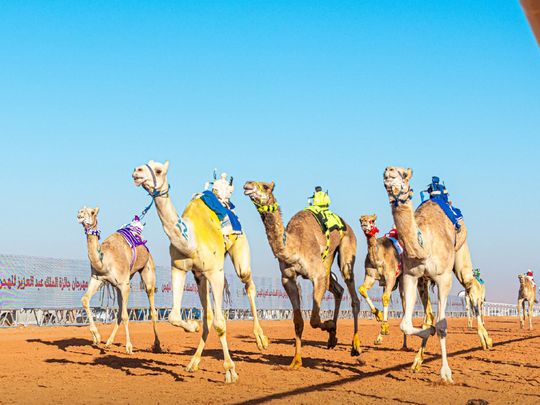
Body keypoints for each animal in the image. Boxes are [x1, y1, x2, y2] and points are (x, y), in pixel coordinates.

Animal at [76, 207, 160, 352]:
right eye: (81, 209)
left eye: (91, 212)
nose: (79, 215)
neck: (105, 261)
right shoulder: (98, 279)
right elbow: (85, 300)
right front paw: (96, 337)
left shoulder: (124, 284)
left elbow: (126, 316)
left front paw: (129, 347)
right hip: (119, 285)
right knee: (120, 311)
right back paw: (108, 342)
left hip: (147, 269)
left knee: (151, 306)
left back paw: (157, 345)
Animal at [133, 159, 268, 382]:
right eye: (145, 164)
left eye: (159, 170)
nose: (137, 171)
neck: (190, 239)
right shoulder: (179, 268)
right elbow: (174, 316)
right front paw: (192, 325)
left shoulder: (215, 272)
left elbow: (221, 323)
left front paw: (230, 371)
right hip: (200, 277)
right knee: (208, 316)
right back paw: (193, 362)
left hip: (239, 254)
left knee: (249, 285)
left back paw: (261, 339)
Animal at [243, 179, 360, 366]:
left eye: (266, 186)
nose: (248, 184)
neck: (293, 246)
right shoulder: (288, 278)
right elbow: (298, 321)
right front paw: (296, 361)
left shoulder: (317, 275)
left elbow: (314, 319)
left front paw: (329, 325)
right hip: (327, 264)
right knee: (338, 289)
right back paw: (332, 339)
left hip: (346, 251)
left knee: (353, 295)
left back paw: (355, 346)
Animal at [358, 213, 434, 346]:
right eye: (361, 220)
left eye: (372, 220)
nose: (364, 225)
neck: (379, 258)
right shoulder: (371, 276)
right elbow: (362, 289)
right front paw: (378, 315)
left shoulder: (391, 277)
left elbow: (385, 298)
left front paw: (384, 328)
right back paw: (403, 343)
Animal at [382, 166, 492, 380]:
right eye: (384, 176)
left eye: (404, 175)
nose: (389, 172)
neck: (424, 245)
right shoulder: (410, 276)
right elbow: (408, 324)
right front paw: (428, 334)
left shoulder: (444, 278)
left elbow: (442, 324)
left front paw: (446, 373)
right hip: (423, 282)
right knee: (428, 315)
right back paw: (417, 361)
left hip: (461, 254)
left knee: (472, 286)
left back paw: (486, 339)